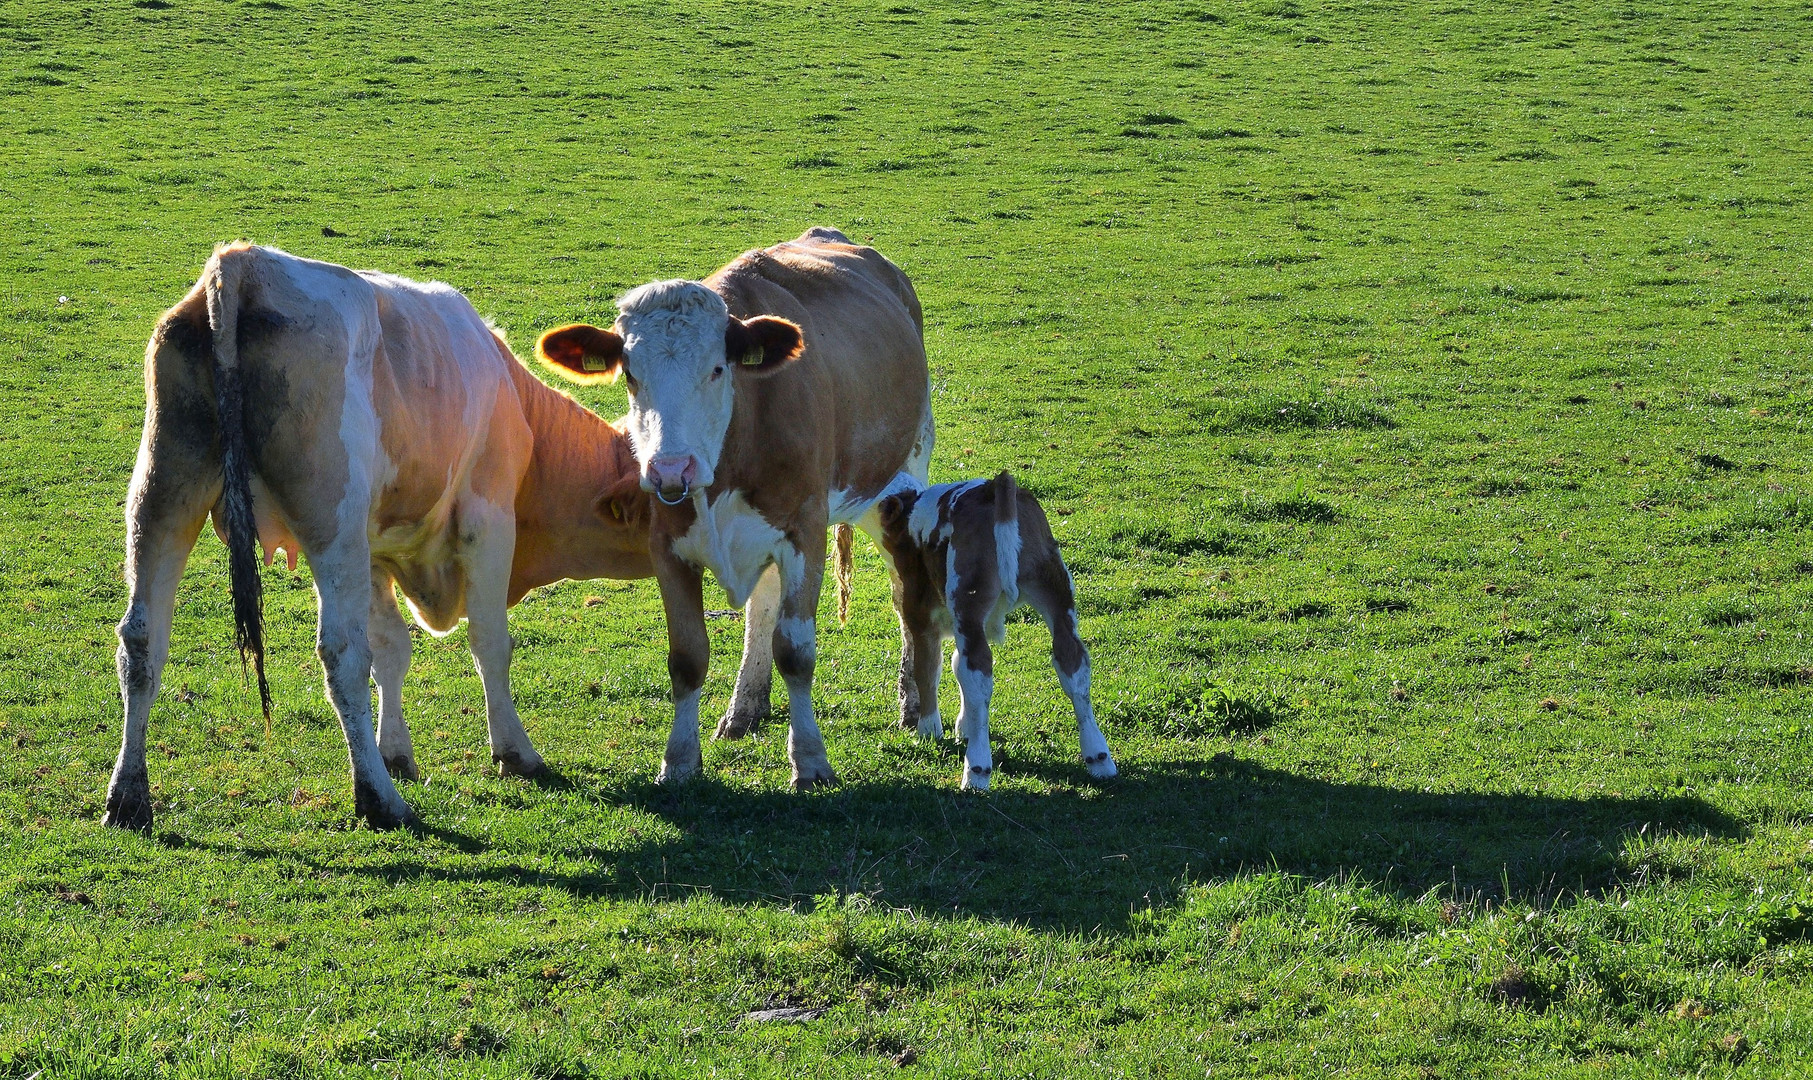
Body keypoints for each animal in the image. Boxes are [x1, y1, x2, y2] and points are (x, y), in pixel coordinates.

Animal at [102, 244, 754, 829]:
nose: (677, 484)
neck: (519, 406)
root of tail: (242, 263)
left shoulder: (374, 546)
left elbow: (392, 648)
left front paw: (395, 752)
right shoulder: (486, 522)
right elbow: (489, 642)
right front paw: (513, 752)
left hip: (164, 491)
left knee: (142, 637)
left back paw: (129, 797)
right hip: (328, 521)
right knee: (340, 653)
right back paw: (378, 801)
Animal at [533, 227, 935, 790]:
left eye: (718, 368)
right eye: (630, 374)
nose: (670, 467)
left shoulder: (805, 529)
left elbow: (796, 652)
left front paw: (811, 761)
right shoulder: (668, 546)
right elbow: (687, 656)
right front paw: (679, 761)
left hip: (899, 481)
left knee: (905, 592)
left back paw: (917, 709)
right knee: (762, 603)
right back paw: (746, 707)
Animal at [870, 467, 1109, 790]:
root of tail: (996, 486)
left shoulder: (920, 617)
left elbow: (927, 670)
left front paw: (929, 730)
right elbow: (956, 666)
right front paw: (964, 726)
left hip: (968, 600)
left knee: (978, 673)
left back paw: (977, 769)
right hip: (1057, 593)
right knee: (1073, 664)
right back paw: (1099, 757)